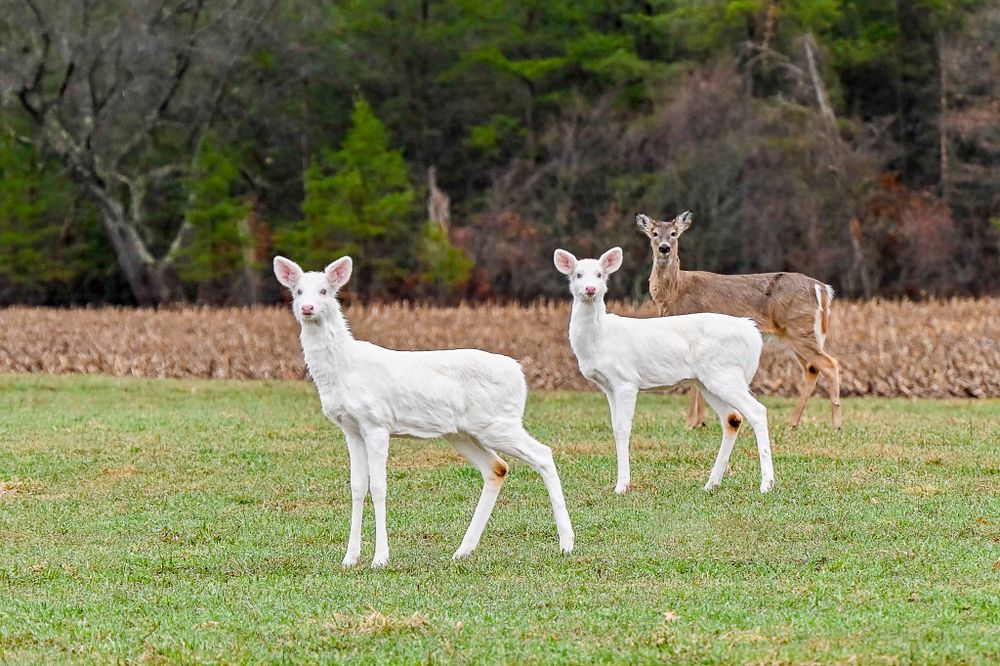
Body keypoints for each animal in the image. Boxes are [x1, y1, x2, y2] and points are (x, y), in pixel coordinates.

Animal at [273, 255, 574, 567]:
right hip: (464, 432)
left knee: (543, 454)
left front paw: (380, 557)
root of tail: (521, 375)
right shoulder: (351, 428)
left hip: (498, 422)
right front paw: (350, 557)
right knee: (497, 468)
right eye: (297, 291)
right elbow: (357, 487)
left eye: (324, 291)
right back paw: (463, 549)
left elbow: (378, 486)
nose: (307, 308)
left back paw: (566, 543)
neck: (344, 369)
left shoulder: (376, 422)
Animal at [553, 246, 774, 495]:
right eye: (578, 275)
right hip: (708, 381)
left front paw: (622, 485)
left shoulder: (626, 380)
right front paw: (620, 482)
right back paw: (711, 483)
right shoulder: (608, 386)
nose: (590, 289)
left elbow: (623, 428)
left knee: (757, 411)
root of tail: (753, 333)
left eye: (600, 274)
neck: (599, 338)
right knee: (732, 418)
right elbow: (615, 427)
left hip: (724, 373)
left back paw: (766, 483)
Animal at [635, 211, 842, 430]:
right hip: (794, 336)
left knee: (830, 364)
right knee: (812, 369)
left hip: (800, 329)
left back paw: (836, 424)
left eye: (674, 233)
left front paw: (691, 423)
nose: (664, 248)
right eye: (654, 233)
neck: (675, 290)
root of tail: (822, 289)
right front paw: (700, 422)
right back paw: (792, 423)